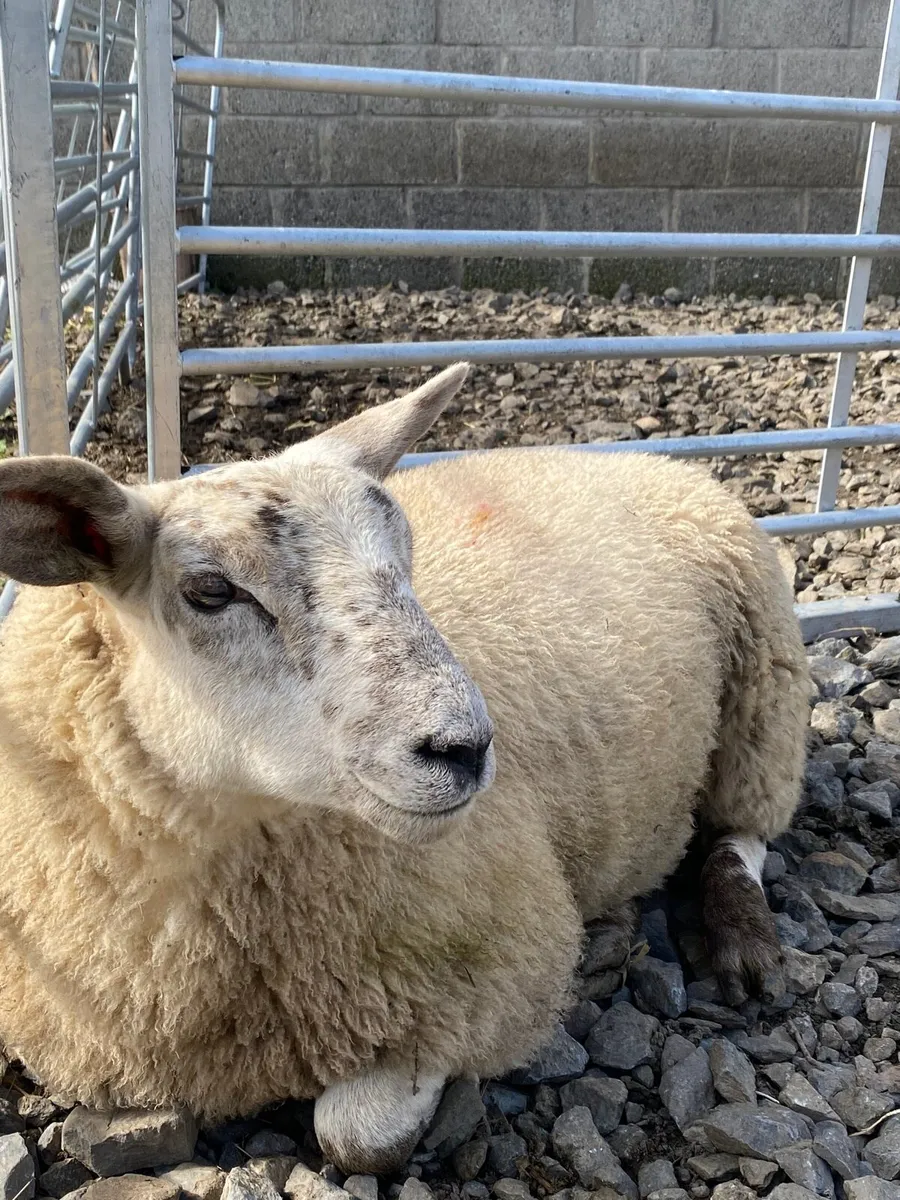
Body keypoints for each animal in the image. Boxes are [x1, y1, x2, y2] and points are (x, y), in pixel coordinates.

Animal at [0, 361, 810, 1175]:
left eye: (405, 558)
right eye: (210, 591)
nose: (465, 748)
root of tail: (634, 459)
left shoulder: (494, 966)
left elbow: (354, 1135)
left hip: (765, 682)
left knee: (744, 829)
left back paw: (742, 938)